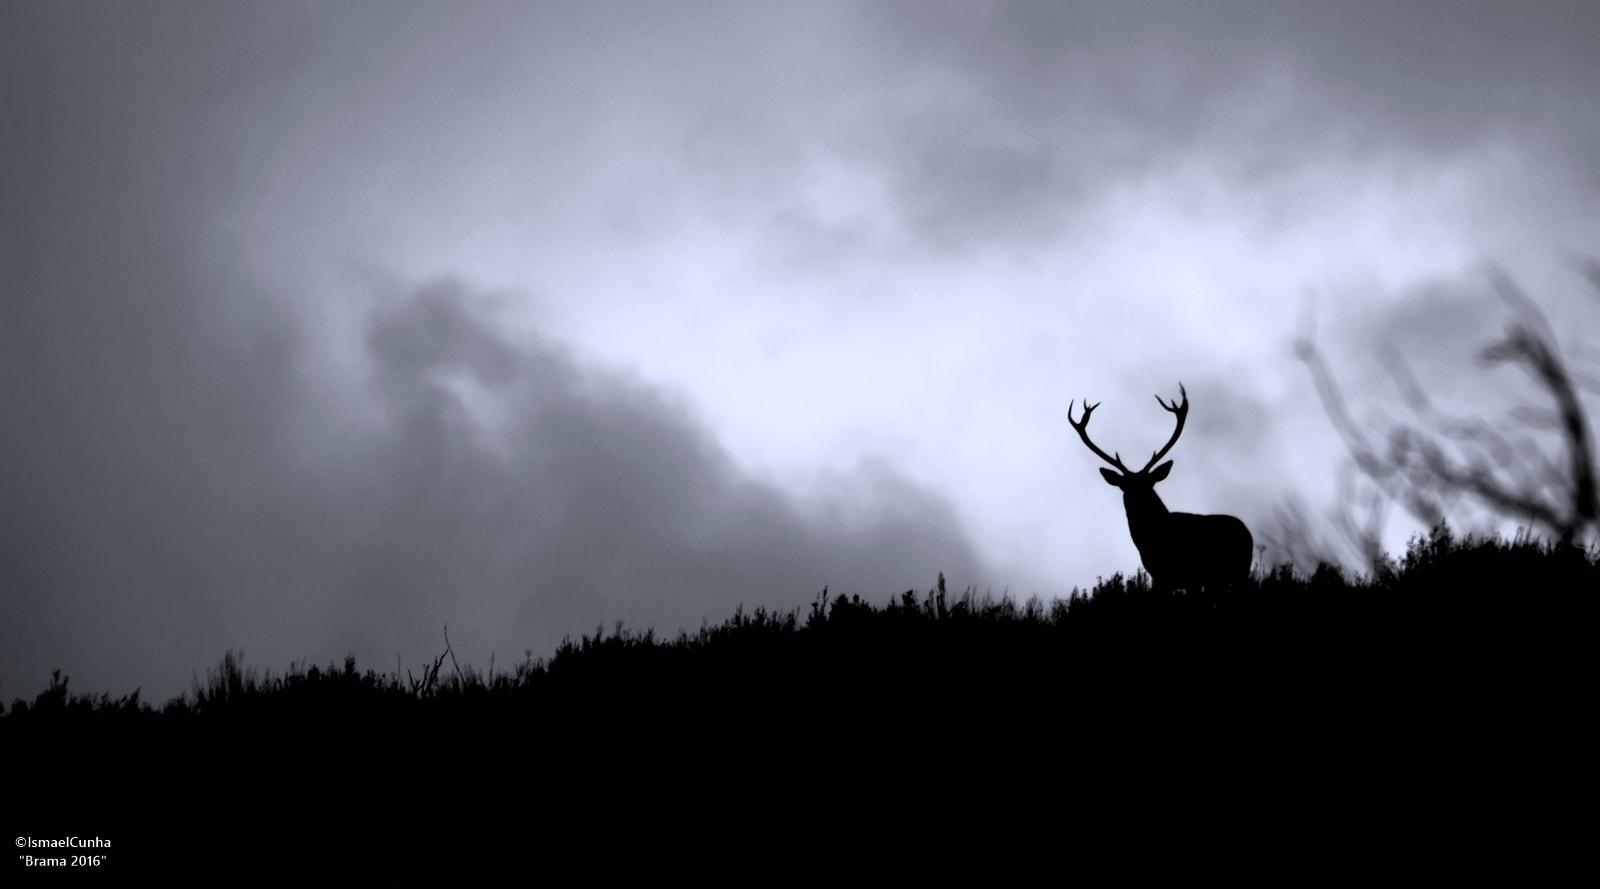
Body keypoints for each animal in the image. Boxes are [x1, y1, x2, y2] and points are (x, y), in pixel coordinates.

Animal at [1069, 383, 1253, 599]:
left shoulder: (1190, 576)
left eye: (1149, 484)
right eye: (1125, 486)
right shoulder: (1159, 577)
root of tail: (1247, 531)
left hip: (1238, 572)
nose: (1137, 501)